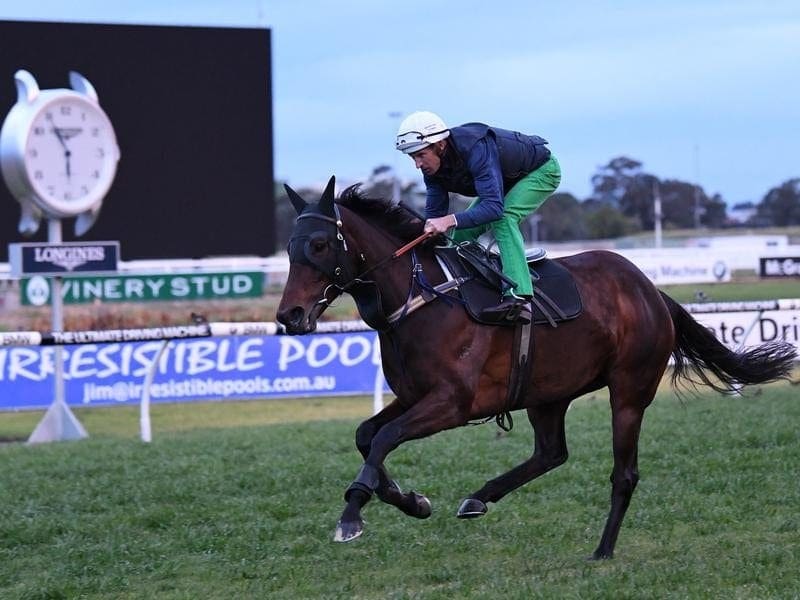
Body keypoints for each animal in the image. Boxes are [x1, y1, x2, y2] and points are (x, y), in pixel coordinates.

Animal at [274, 176, 792, 560]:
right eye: (289, 247)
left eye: (320, 243)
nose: (289, 316)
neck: (421, 298)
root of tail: (651, 291)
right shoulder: (415, 395)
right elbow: (367, 434)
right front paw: (411, 501)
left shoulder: (453, 402)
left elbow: (383, 438)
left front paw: (352, 516)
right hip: (547, 393)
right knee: (550, 453)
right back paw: (479, 497)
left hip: (629, 391)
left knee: (623, 474)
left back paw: (603, 550)